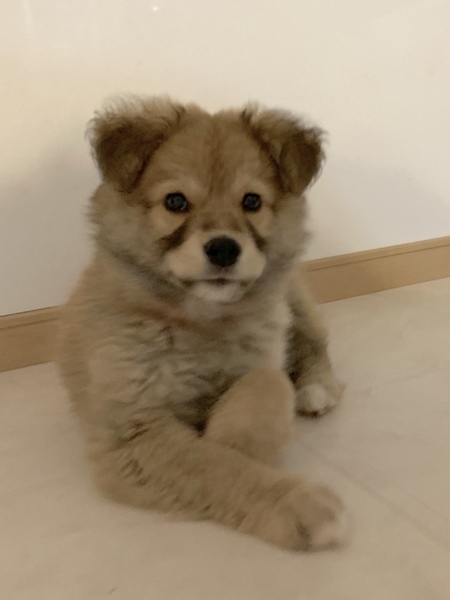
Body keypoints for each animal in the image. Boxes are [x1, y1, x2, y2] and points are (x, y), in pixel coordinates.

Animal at [57, 96, 347, 551]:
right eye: (175, 202)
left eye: (252, 202)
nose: (224, 249)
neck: (200, 323)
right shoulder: (134, 432)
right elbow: (213, 465)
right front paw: (298, 504)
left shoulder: (262, 356)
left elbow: (268, 386)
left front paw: (233, 440)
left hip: (294, 299)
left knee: (315, 343)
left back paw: (316, 389)